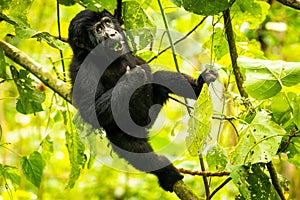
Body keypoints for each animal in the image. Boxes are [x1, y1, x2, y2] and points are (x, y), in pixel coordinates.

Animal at [68, 9, 218, 192]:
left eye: (107, 22)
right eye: (99, 29)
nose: (112, 33)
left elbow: (148, 70)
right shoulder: (83, 69)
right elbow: (90, 112)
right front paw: (132, 77)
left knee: (160, 79)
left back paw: (199, 85)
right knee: (133, 148)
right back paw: (166, 174)